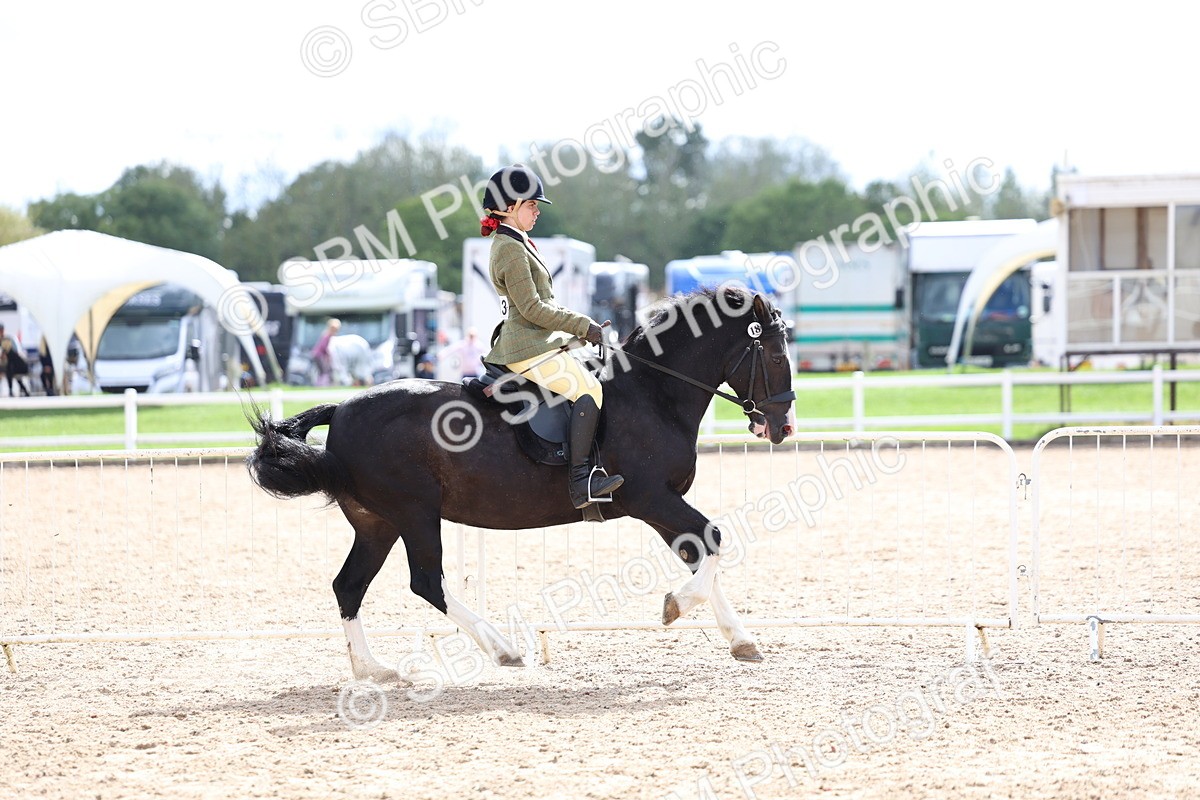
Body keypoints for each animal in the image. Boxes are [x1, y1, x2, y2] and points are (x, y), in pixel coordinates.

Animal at [247, 288, 796, 681]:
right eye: (773, 357)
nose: (783, 426)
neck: (653, 393)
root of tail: (341, 409)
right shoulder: (650, 498)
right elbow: (713, 541)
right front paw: (673, 608)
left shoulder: (662, 504)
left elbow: (701, 551)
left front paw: (741, 640)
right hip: (414, 514)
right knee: (426, 581)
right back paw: (503, 650)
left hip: (376, 523)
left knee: (349, 586)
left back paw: (373, 670)